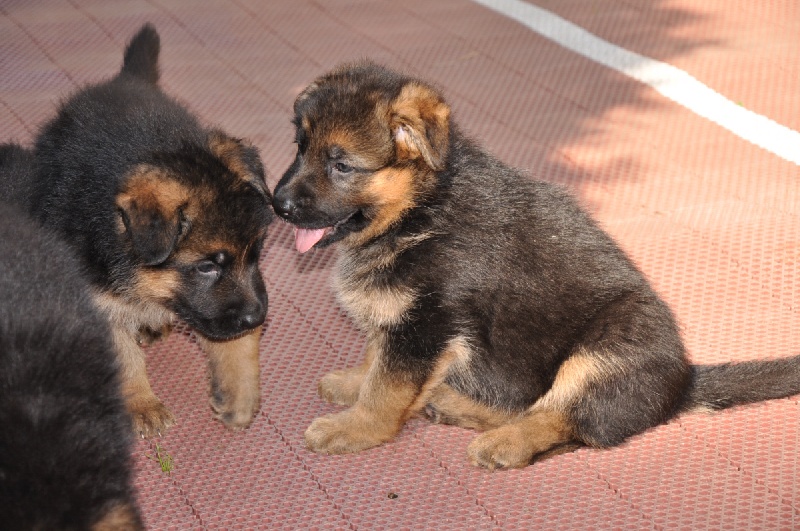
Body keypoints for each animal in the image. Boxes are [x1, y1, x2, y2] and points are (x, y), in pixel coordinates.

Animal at [19, 23, 276, 436]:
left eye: (255, 253)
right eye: (207, 266)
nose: (258, 318)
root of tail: (124, 80)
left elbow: (233, 337)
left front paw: (239, 392)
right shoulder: (98, 302)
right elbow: (123, 357)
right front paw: (141, 403)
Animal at [274, 62, 800, 470]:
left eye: (341, 165)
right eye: (300, 148)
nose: (277, 205)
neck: (420, 208)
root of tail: (682, 383)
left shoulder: (427, 324)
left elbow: (388, 388)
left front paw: (355, 427)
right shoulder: (403, 323)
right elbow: (376, 358)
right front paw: (353, 383)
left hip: (604, 350)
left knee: (564, 419)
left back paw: (503, 443)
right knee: (544, 412)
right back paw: (453, 404)